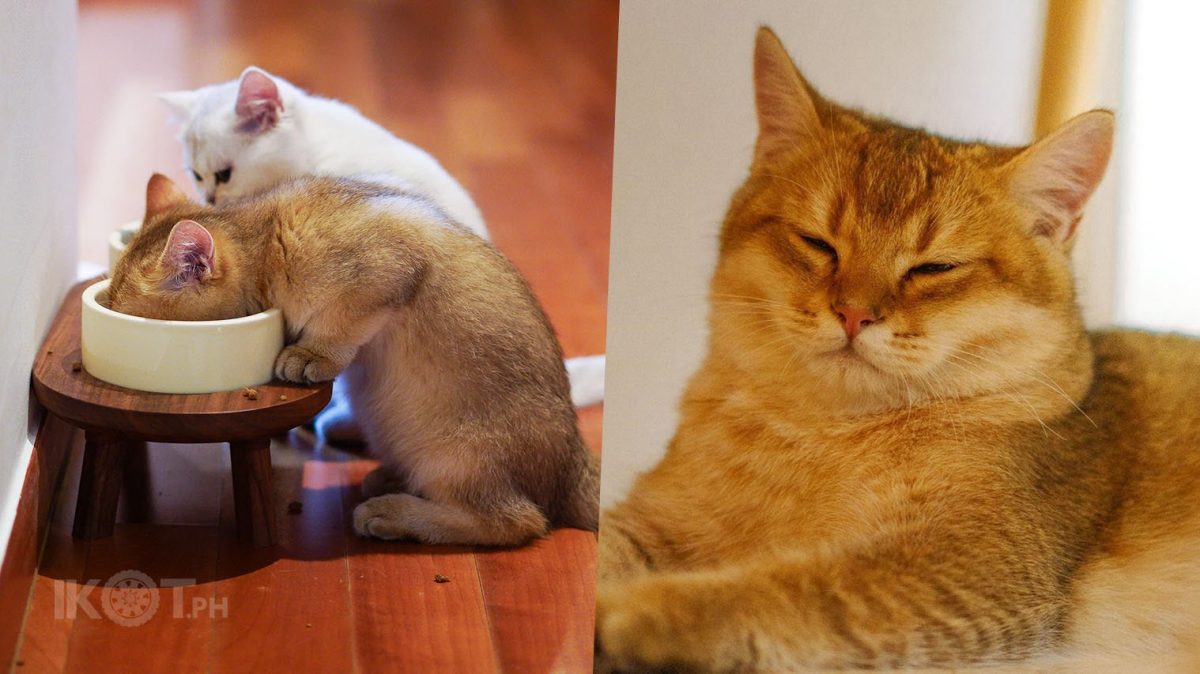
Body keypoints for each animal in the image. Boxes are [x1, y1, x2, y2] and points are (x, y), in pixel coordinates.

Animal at [109, 172, 600, 546]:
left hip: (458, 455)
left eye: (123, 312)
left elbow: (343, 321)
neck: (266, 237)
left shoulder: (392, 265)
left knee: (519, 521)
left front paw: (312, 353)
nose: (107, 313)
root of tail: (575, 463)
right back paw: (394, 483)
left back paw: (394, 514)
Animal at [595, 27, 1200, 671]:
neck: (820, 435)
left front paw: (634, 612)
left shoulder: (972, 562)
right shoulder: (652, 519)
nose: (853, 314)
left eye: (934, 268)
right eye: (818, 243)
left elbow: (793, 587)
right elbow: (605, 545)